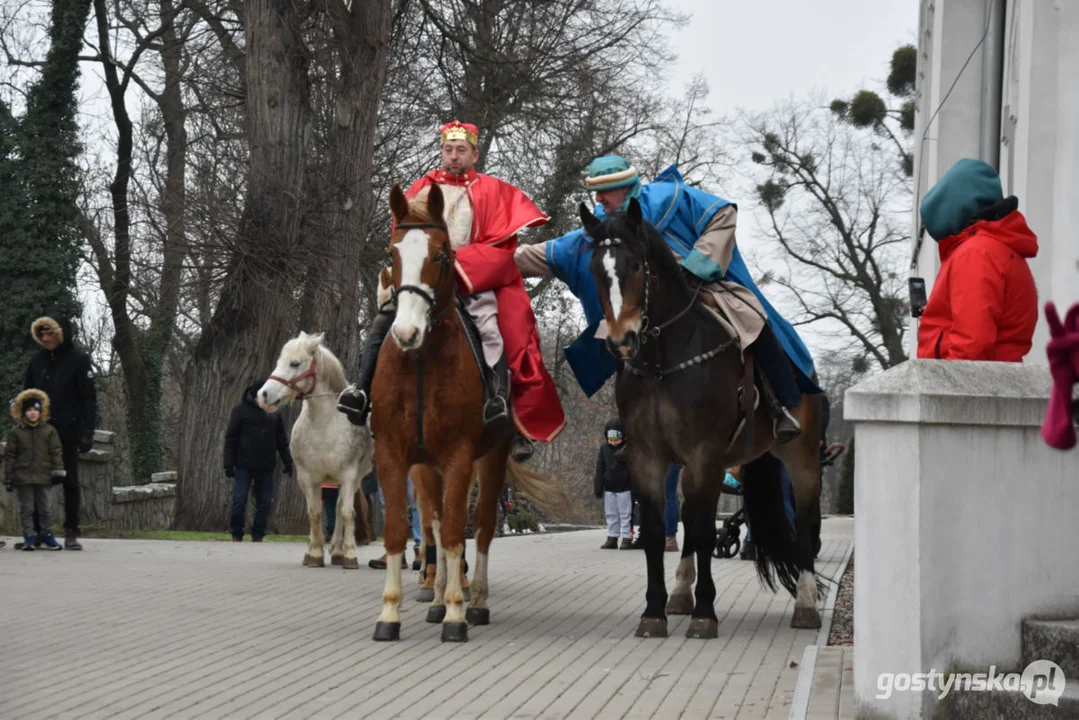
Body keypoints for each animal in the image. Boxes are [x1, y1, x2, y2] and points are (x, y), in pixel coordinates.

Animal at [257, 332, 373, 569]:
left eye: (295, 363)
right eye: (279, 361)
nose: (263, 395)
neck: (324, 425)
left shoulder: (349, 476)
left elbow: (347, 513)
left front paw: (349, 555)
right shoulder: (308, 477)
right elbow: (314, 513)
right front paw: (315, 554)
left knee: (339, 508)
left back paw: (338, 551)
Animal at [369, 183, 561, 643]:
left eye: (441, 255)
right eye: (393, 251)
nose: (406, 332)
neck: (421, 360)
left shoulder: (459, 455)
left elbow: (460, 531)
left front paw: (457, 613)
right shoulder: (395, 455)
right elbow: (402, 532)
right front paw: (391, 613)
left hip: (490, 458)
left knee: (484, 526)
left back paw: (475, 602)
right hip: (429, 466)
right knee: (437, 527)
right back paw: (438, 596)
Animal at [582, 198, 824, 634]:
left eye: (637, 265)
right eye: (595, 269)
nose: (621, 341)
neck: (663, 362)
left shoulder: (704, 453)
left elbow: (702, 531)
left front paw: (705, 613)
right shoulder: (648, 458)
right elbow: (661, 530)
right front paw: (655, 611)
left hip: (802, 457)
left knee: (807, 524)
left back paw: (806, 605)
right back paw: (681, 594)